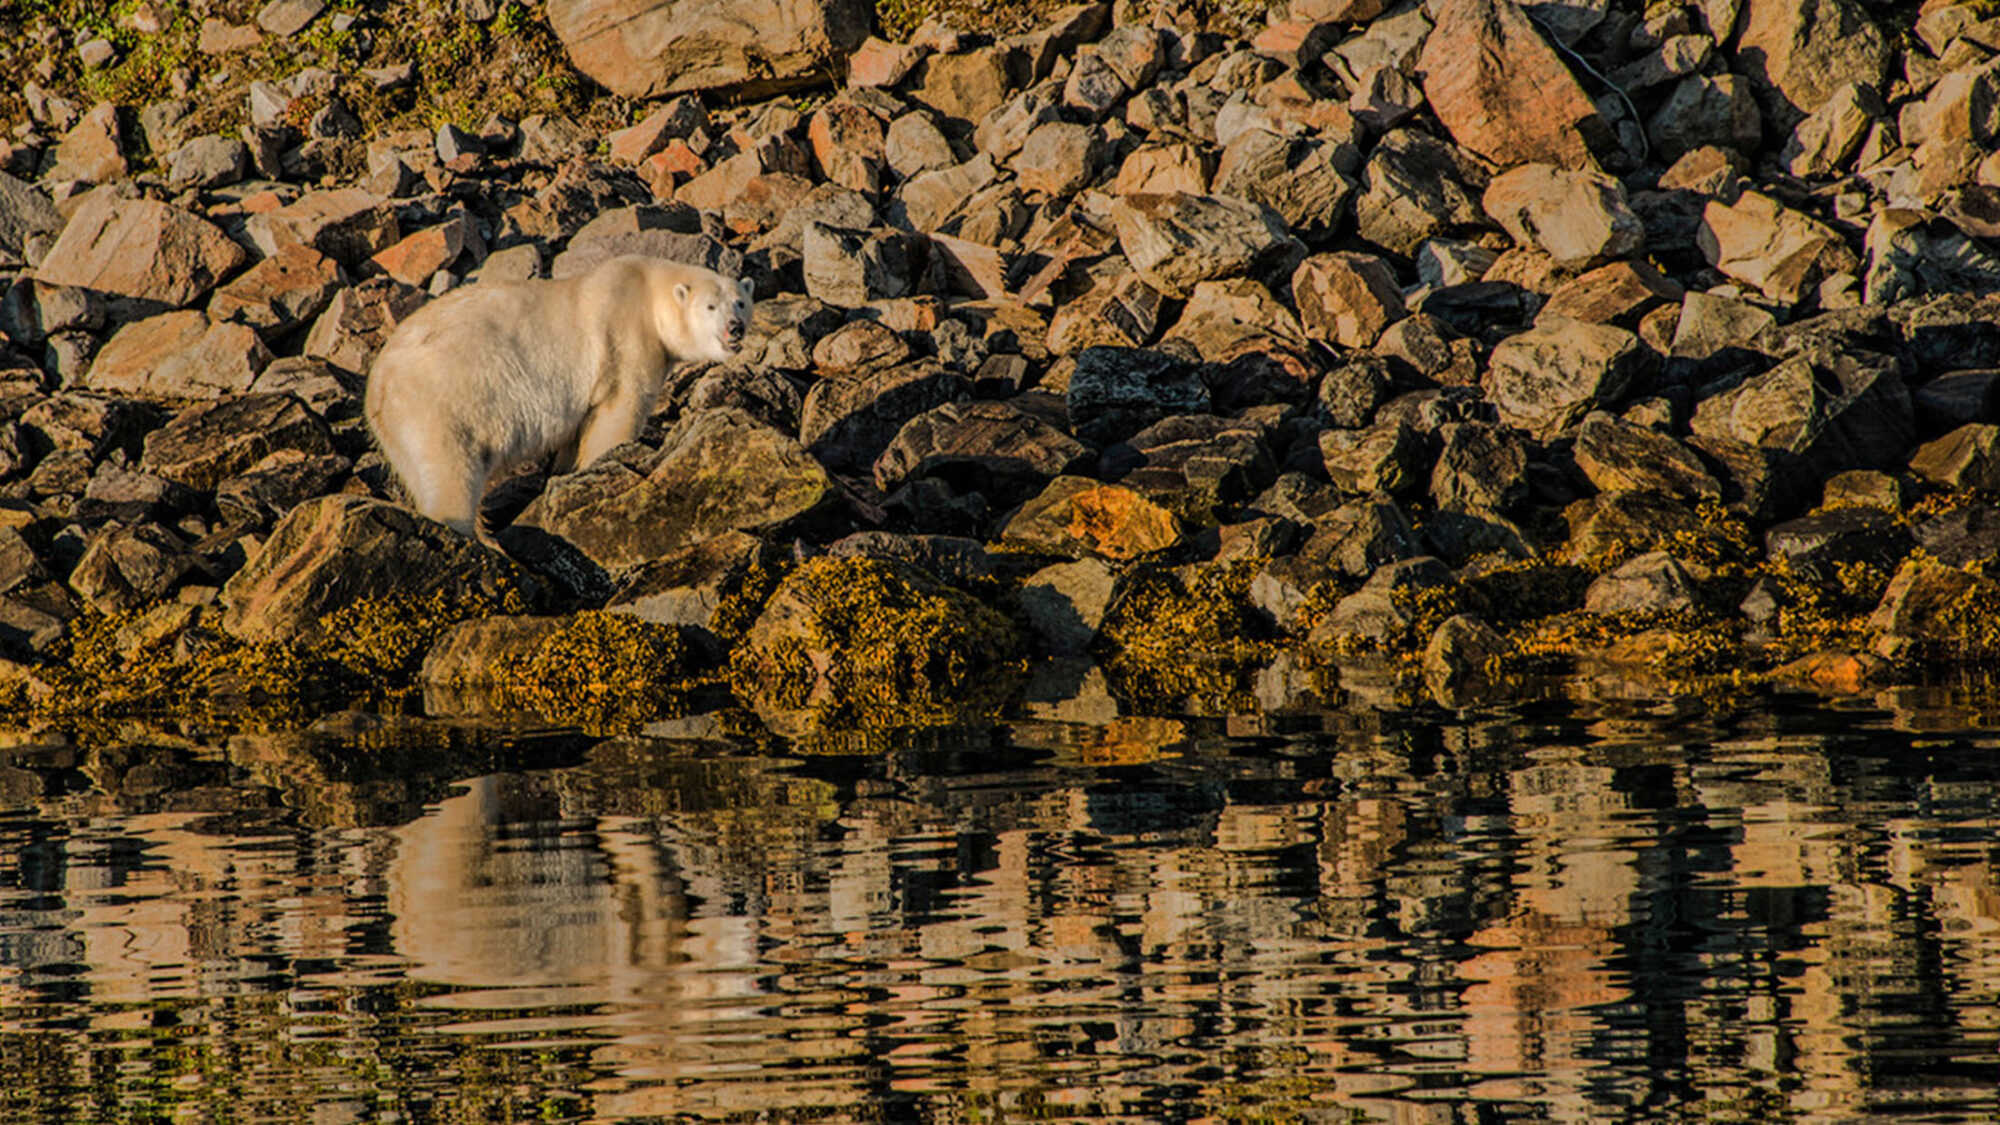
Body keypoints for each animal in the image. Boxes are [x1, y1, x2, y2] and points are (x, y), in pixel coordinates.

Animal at [364, 255, 754, 540]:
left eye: (740, 302)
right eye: (710, 307)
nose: (735, 328)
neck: (646, 289)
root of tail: (378, 384)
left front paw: (565, 472)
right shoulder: (624, 339)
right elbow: (617, 414)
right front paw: (605, 462)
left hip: (399, 433)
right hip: (438, 406)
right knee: (450, 474)